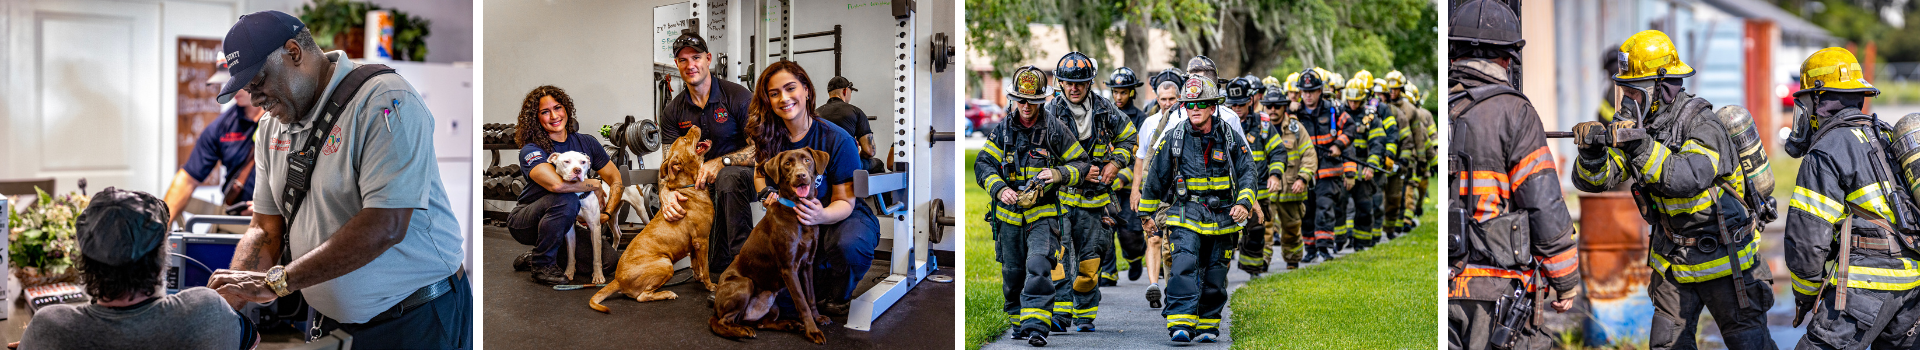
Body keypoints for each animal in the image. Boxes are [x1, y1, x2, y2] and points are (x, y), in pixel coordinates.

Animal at [587, 126, 718, 311]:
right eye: (685, 139)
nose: (693, 126)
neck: (688, 186)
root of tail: (617, 280)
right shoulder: (702, 240)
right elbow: (705, 267)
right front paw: (710, 286)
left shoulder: (694, 245)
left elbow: (696, 265)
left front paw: (698, 278)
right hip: (665, 263)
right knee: (643, 296)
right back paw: (666, 293)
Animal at [706, 148, 825, 344]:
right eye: (787, 163)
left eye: (807, 160)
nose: (801, 175)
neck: (796, 210)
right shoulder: (789, 269)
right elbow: (802, 302)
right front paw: (812, 331)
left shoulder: (808, 264)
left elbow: (811, 297)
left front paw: (817, 318)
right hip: (744, 284)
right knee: (722, 322)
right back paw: (741, 331)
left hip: (772, 302)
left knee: (762, 323)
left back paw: (789, 324)